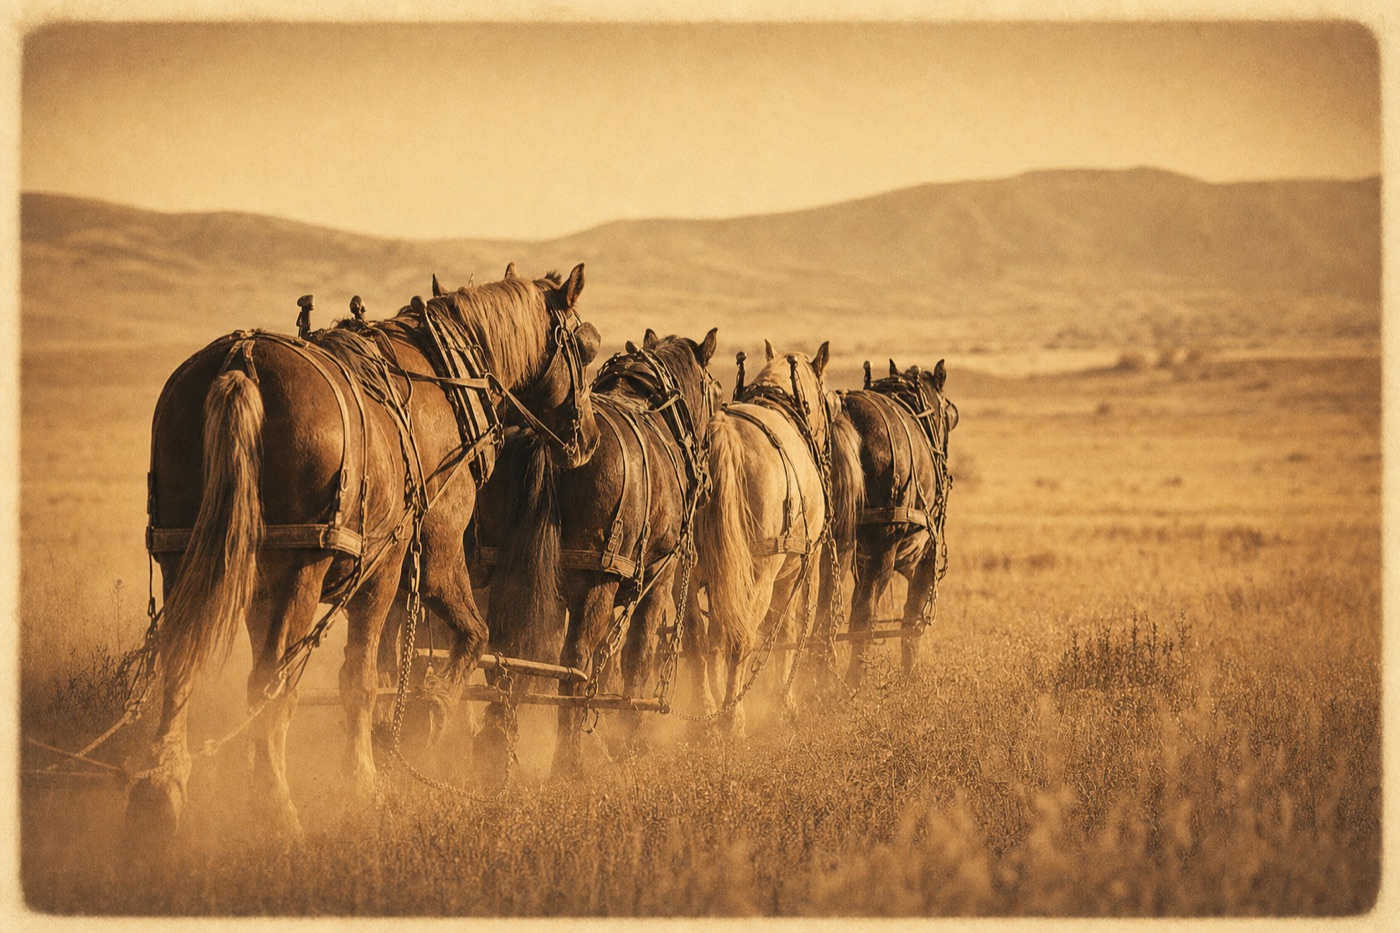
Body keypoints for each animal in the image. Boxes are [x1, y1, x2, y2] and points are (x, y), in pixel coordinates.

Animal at [131, 263, 601, 844]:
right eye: (586, 348)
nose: (589, 439)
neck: (448, 380)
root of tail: (240, 361)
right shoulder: (421, 557)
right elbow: (402, 663)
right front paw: (390, 754)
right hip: (302, 569)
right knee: (272, 685)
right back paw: (276, 808)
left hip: (185, 558)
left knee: (183, 665)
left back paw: (160, 793)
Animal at [469, 328, 722, 777]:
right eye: (713, 393)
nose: (705, 480)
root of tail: (544, 439)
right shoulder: (658, 575)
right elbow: (637, 655)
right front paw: (630, 738)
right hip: (596, 584)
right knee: (576, 663)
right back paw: (568, 762)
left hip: (504, 572)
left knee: (504, 657)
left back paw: (497, 746)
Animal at [684, 340, 863, 737]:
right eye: (826, 402)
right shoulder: (801, 569)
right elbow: (788, 632)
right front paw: (785, 704)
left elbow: (716, 635)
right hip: (761, 571)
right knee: (742, 637)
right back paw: (732, 719)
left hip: (685, 572)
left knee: (698, 636)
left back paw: (707, 711)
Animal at [838, 359, 958, 685]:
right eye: (949, 416)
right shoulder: (924, 555)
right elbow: (911, 619)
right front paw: (908, 680)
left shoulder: (863, 561)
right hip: (884, 551)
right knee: (862, 617)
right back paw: (849, 683)